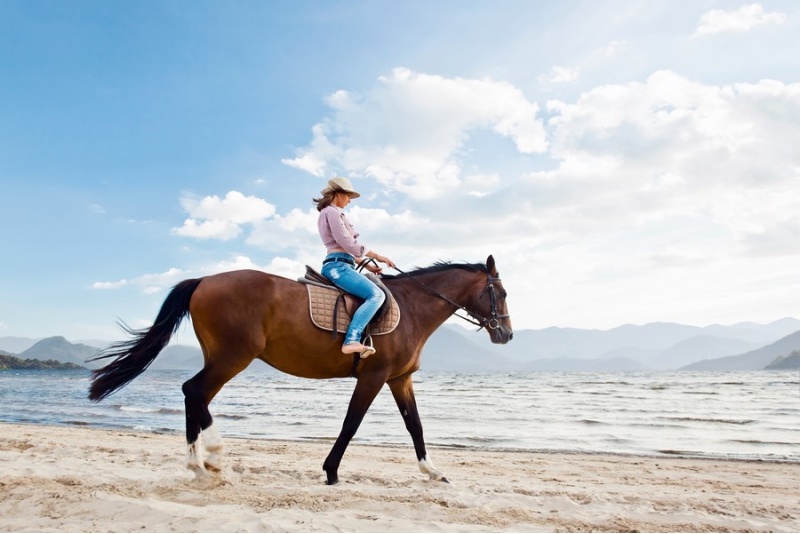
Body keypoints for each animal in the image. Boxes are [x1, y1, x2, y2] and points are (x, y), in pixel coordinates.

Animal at [87, 255, 512, 486]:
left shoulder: (398, 379)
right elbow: (351, 423)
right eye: (503, 293)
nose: (506, 334)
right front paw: (331, 472)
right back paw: (213, 456)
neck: (410, 308)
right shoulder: (374, 377)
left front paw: (433, 472)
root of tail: (205, 280)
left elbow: (416, 426)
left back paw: (201, 464)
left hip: (222, 357)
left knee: (195, 395)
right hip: (233, 357)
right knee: (195, 392)